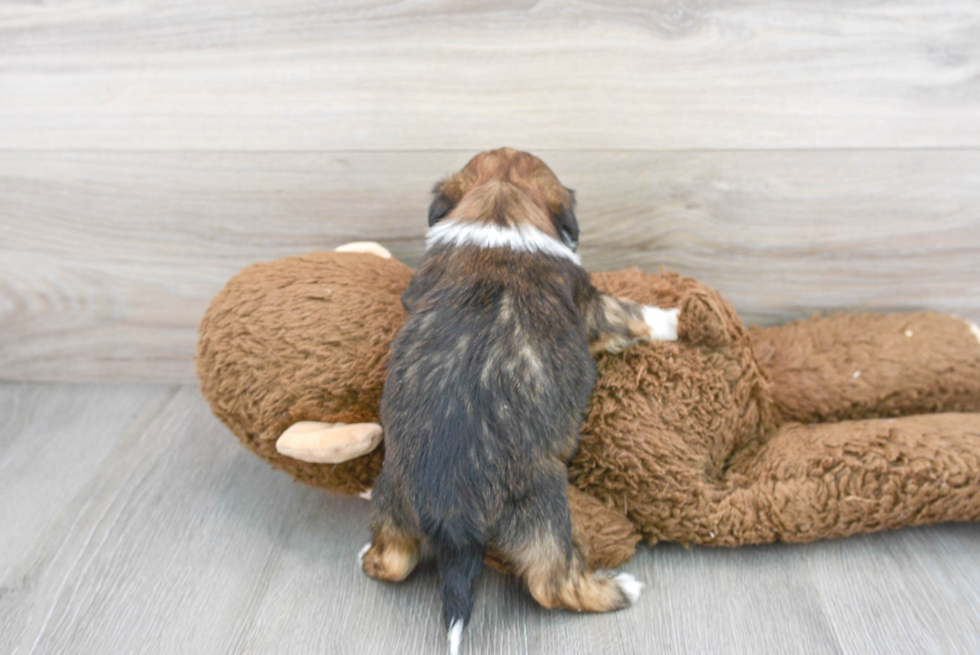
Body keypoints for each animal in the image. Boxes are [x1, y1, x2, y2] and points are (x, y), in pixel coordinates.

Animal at [362, 149, 680, 655]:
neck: (500, 207)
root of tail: (453, 513)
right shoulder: (594, 305)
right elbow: (634, 314)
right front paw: (676, 317)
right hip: (543, 516)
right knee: (553, 585)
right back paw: (618, 589)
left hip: (392, 498)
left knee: (392, 562)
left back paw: (368, 552)